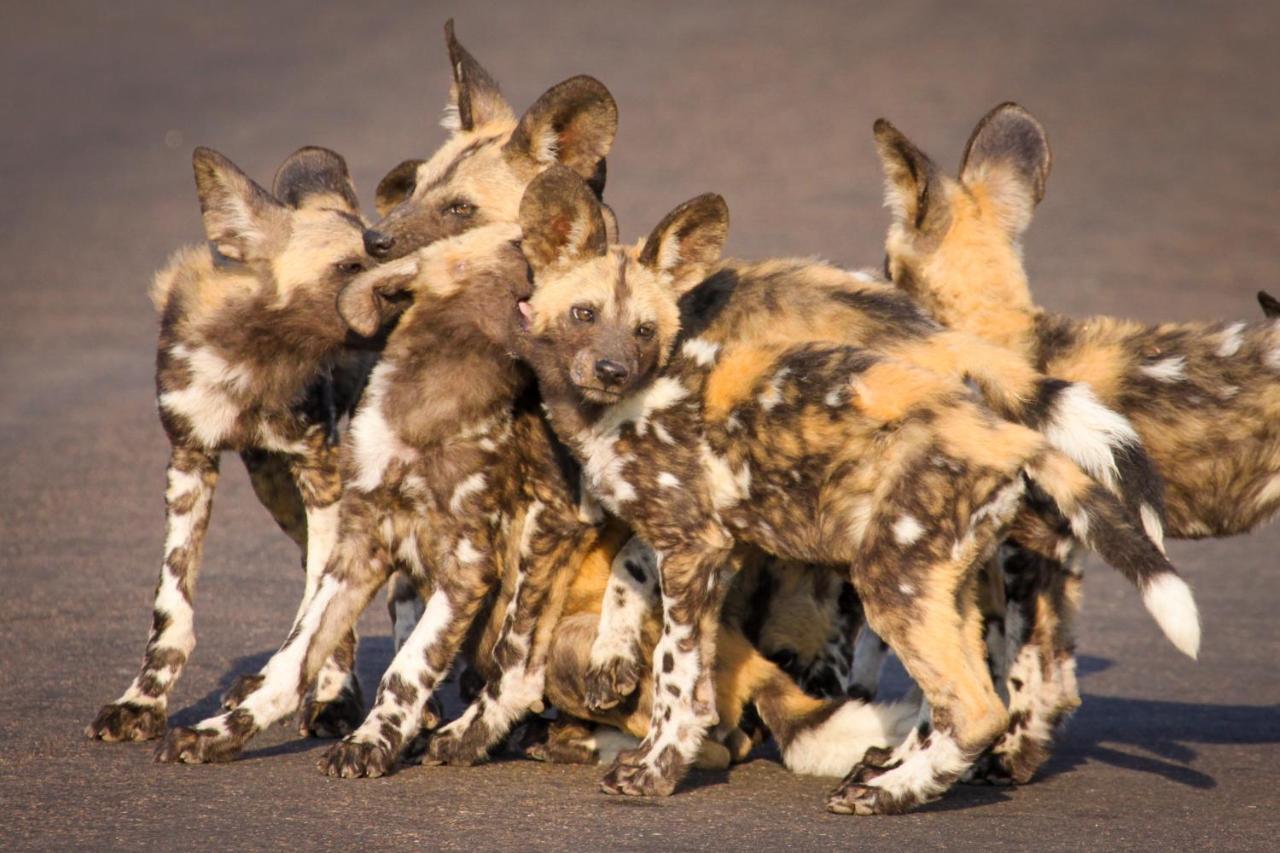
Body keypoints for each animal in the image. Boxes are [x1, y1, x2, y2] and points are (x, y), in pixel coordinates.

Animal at [85, 146, 386, 742]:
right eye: (348, 267)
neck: (256, 356)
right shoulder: (188, 461)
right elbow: (171, 607)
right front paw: (142, 702)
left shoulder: (320, 471)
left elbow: (323, 607)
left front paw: (331, 698)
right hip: (273, 487)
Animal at [875, 99, 1264, 778]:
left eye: (885, 264)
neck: (1006, 336)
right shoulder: (1051, 552)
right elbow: (1035, 678)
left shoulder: (1032, 548)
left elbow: (995, 683)